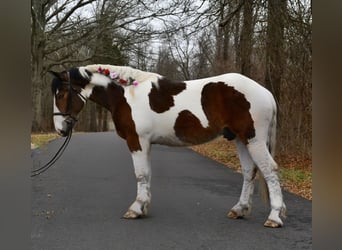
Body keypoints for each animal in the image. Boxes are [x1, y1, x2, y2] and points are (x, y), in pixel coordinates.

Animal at [49, 64, 286, 229]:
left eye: (61, 94)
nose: (60, 129)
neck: (126, 96)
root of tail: (265, 92)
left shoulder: (137, 140)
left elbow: (141, 174)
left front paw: (136, 209)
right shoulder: (145, 143)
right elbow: (147, 174)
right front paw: (143, 206)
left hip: (253, 140)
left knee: (269, 170)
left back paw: (274, 217)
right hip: (240, 139)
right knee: (249, 172)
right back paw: (239, 210)